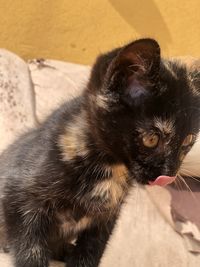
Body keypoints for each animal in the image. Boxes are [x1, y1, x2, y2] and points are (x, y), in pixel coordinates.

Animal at [0, 38, 200, 267]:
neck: (111, 168)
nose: (170, 173)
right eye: (151, 139)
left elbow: (91, 250)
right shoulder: (17, 196)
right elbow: (29, 248)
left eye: (188, 140)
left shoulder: (105, 219)